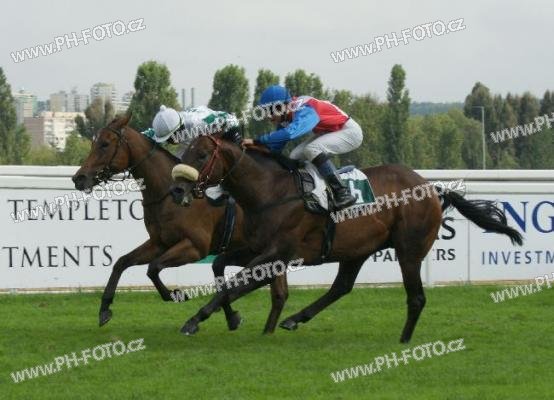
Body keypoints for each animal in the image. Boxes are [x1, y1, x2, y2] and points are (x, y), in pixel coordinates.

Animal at [72, 114, 288, 333]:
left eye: (105, 144)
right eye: (93, 143)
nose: (79, 178)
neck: (167, 194)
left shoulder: (195, 247)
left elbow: (153, 267)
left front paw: (177, 295)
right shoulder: (159, 243)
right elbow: (121, 262)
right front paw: (104, 309)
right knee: (278, 295)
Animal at [169, 135, 523, 342]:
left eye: (201, 154)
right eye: (184, 150)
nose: (176, 189)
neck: (271, 191)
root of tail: (432, 188)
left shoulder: (276, 254)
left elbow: (235, 284)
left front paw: (193, 320)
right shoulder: (255, 249)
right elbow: (221, 269)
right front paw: (232, 318)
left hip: (409, 251)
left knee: (416, 297)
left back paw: (404, 340)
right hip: (357, 249)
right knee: (342, 287)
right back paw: (295, 319)